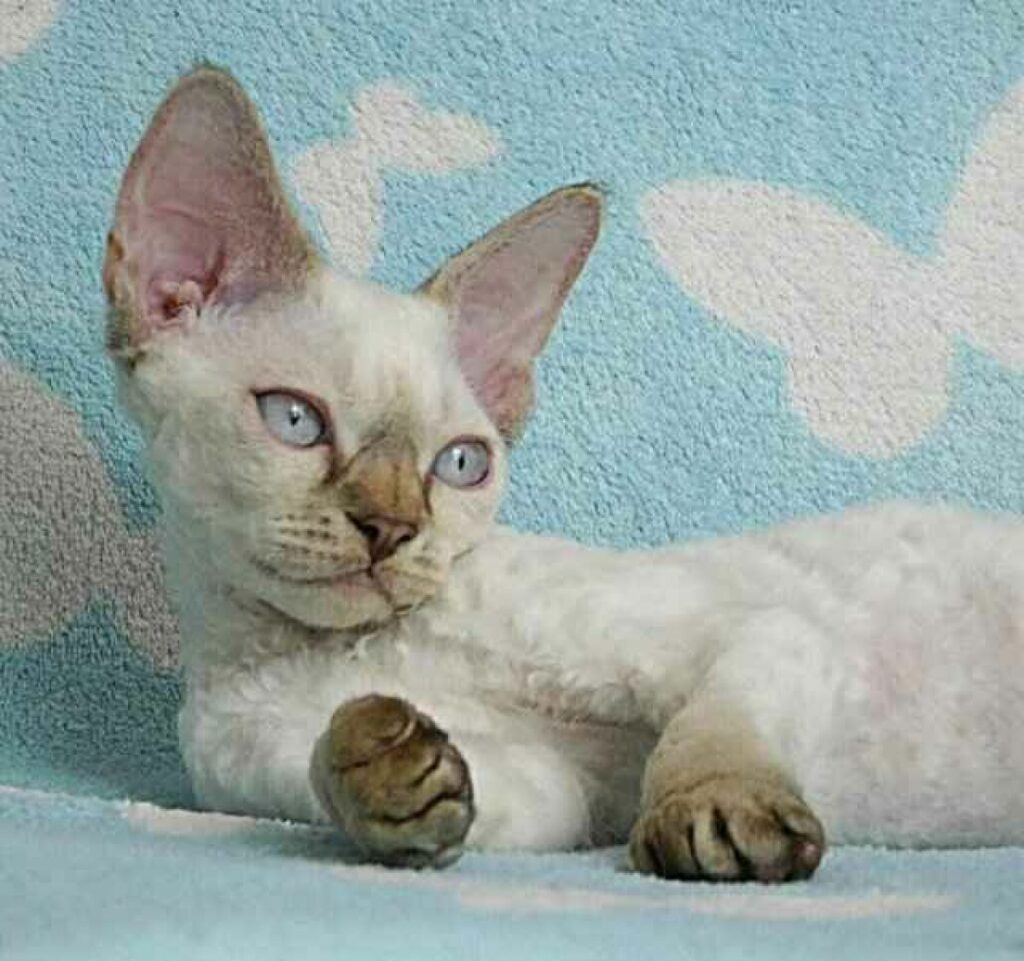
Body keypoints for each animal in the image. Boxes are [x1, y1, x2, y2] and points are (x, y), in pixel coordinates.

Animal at [103, 66, 1024, 883]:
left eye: (460, 463)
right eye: (296, 420)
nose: (395, 529)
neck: (352, 643)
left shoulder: (755, 631)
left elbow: (709, 729)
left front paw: (710, 812)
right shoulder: (552, 789)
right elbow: (354, 757)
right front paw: (384, 770)